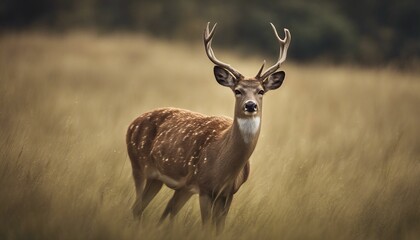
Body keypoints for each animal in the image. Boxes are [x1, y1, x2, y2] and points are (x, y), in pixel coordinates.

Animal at [126, 23, 290, 232]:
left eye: (261, 91)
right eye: (237, 91)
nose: (251, 105)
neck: (223, 166)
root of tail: (132, 123)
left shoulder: (229, 193)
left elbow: (219, 228)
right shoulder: (204, 187)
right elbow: (206, 227)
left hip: (164, 181)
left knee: (159, 210)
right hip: (138, 164)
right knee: (138, 207)